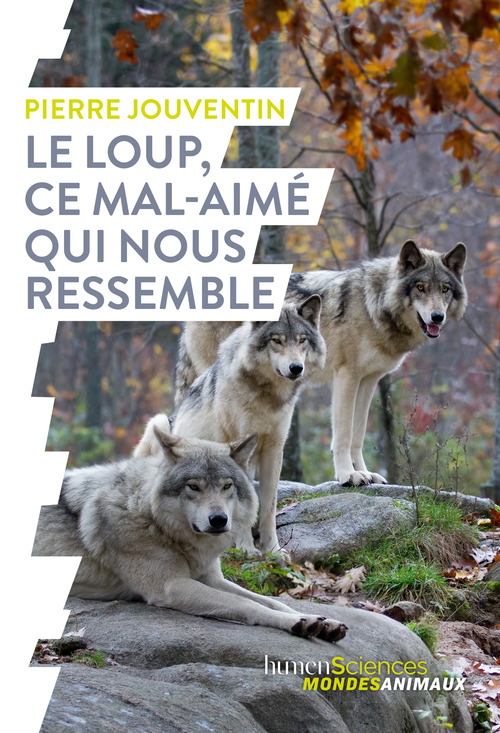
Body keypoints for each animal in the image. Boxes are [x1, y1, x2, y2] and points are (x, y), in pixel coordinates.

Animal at [32, 414, 347, 641]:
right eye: (193, 487)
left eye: (226, 486)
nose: (219, 520)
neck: (151, 519)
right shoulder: (172, 586)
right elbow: (248, 605)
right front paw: (295, 622)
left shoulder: (210, 577)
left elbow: (272, 602)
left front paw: (318, 620)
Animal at [169, 296, 326, 556]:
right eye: (276, 340)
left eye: (302, 340)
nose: (296, 368)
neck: (267, 397)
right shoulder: (241, 449)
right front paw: (246, 548)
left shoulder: (274, 448)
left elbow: (269, 507)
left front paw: (273, 550)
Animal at [174, 240, 467, 486]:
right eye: (420, 288)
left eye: (444, 289)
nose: (437, 317)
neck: (373, 304)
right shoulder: (347, 376)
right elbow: (343, 434)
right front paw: (348, 475)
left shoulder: (369, 379)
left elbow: (358, 434)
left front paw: (365, 473)